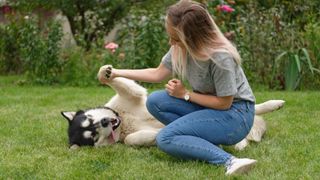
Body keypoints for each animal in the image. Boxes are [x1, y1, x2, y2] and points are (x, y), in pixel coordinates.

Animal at [60, 65, 284, 150]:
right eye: (93, 135)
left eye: (90, 119)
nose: (106, 121)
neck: (123, 120)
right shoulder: (128, 137)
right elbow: (133, 139)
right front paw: (155, 136)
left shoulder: (133, 96)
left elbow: (119, 82)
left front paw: (105, 73)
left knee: (252, 110)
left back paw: (274, 104)